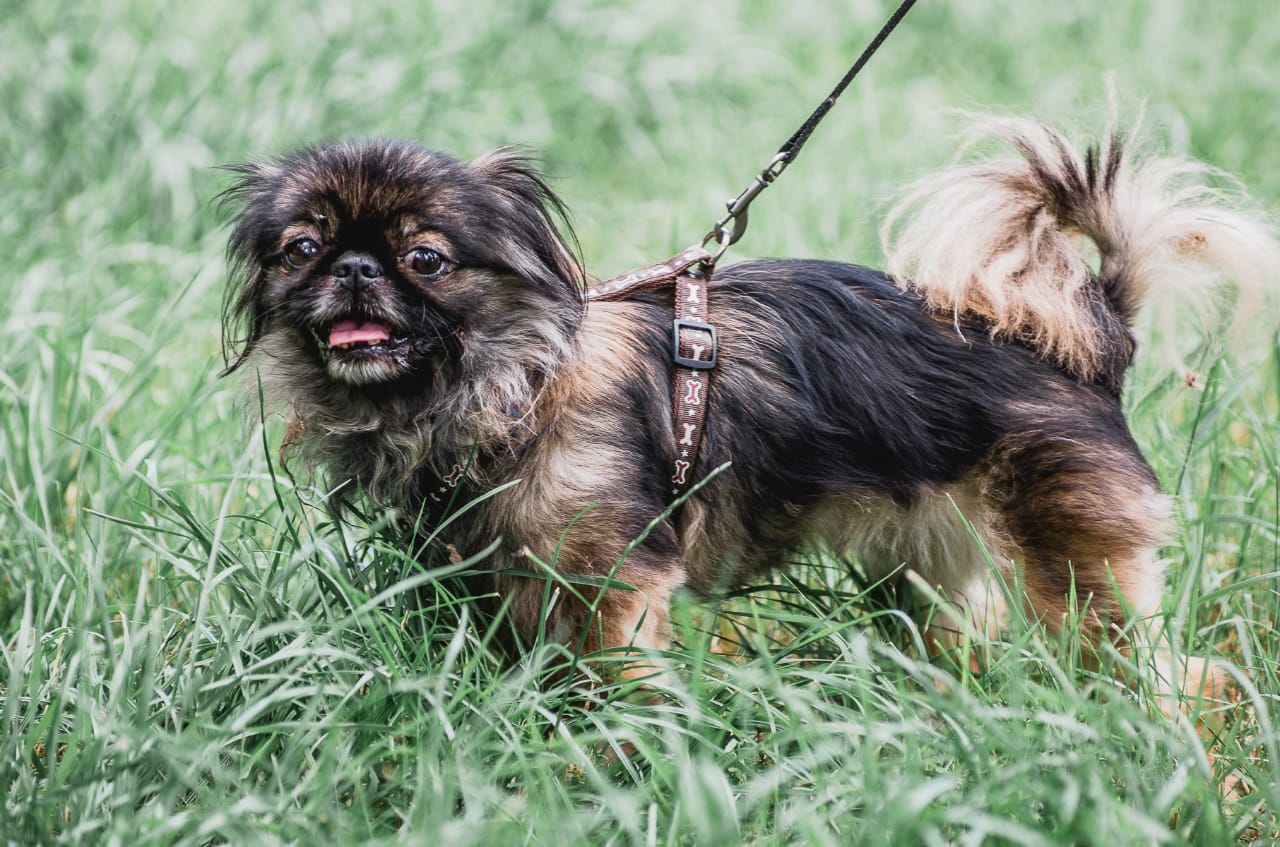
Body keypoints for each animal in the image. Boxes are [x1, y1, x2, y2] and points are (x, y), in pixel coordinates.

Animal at [221, 115, 1277, 698]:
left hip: (1077, 572)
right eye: (302, 249)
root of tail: (1091, 335)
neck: (502, 381)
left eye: (426, 259)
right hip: (926, 570)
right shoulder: (501, 579)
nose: (356, 268)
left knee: (1160, 671)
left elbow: (610, 686)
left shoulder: (608, 586)